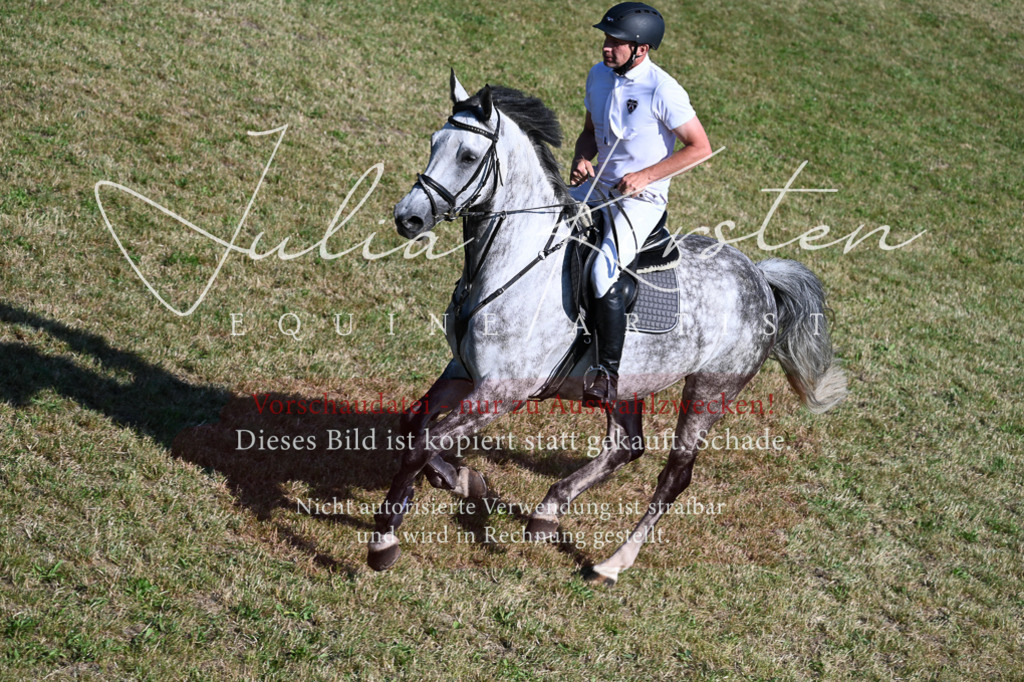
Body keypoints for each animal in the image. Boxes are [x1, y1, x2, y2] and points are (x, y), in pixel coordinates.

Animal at [372, 71, 847, 585]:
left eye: (468, 156)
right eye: (433, 143)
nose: (407, 217)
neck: (513, 262)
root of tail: (758, 276)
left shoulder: (503, 390)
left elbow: (425, 442)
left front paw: (385, 539)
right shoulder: (462, 371)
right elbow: (413, 423)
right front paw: (460, 480)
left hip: (711, 388)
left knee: (674, 475)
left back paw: (613, 563)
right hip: (628, 381)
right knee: (625, 446)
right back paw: (548, 512)